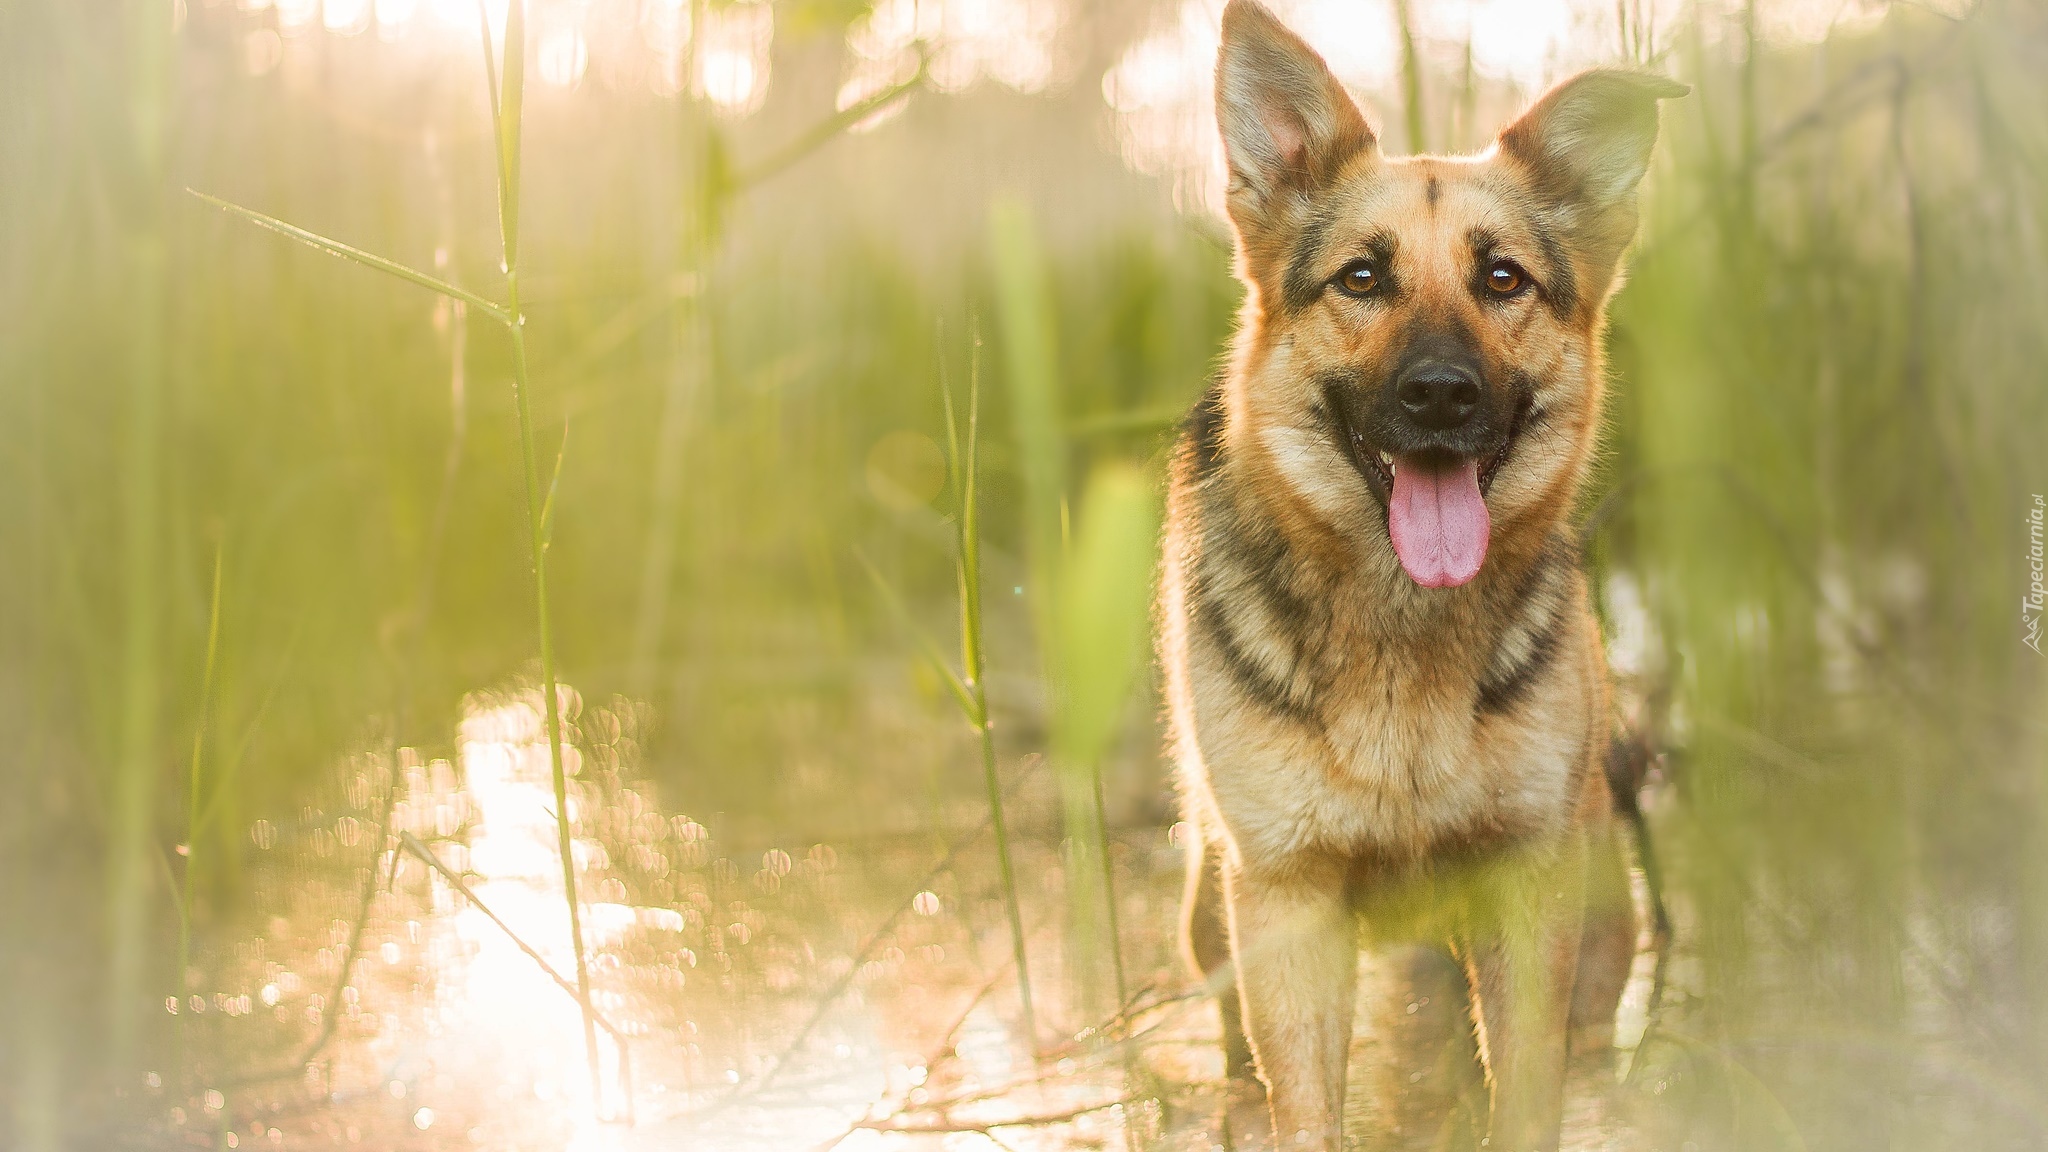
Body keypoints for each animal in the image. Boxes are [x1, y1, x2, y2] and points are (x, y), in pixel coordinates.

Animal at [1163, 4, 1687, 1139]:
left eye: (1503, 279)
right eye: (1362, 277)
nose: (1441, 394)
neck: (1402, 636)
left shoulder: (1525, 888)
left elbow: (1524, 1095)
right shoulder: (1289, 901)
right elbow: (1305, 1112)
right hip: (1213, 921)